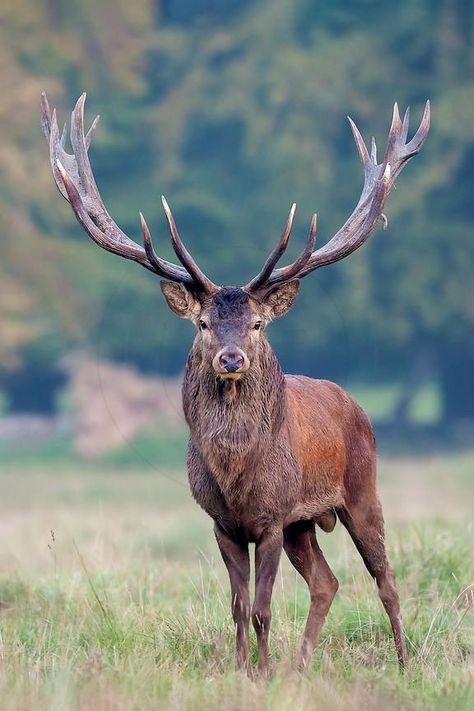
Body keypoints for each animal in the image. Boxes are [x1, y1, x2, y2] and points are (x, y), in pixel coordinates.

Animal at [41, 92, 430, 676]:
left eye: (258, 324)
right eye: (203, 323)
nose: (231, 358)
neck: (236, 477)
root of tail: (355, 404)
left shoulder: (270, 517)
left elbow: (264, 608)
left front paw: (263, 676)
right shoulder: (224, 524)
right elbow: (238, 607)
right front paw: (246, 671)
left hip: (361, 489)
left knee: (384, 578)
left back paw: (404, 663)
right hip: (303, 524)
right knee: (327, 582)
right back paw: (301, 667)